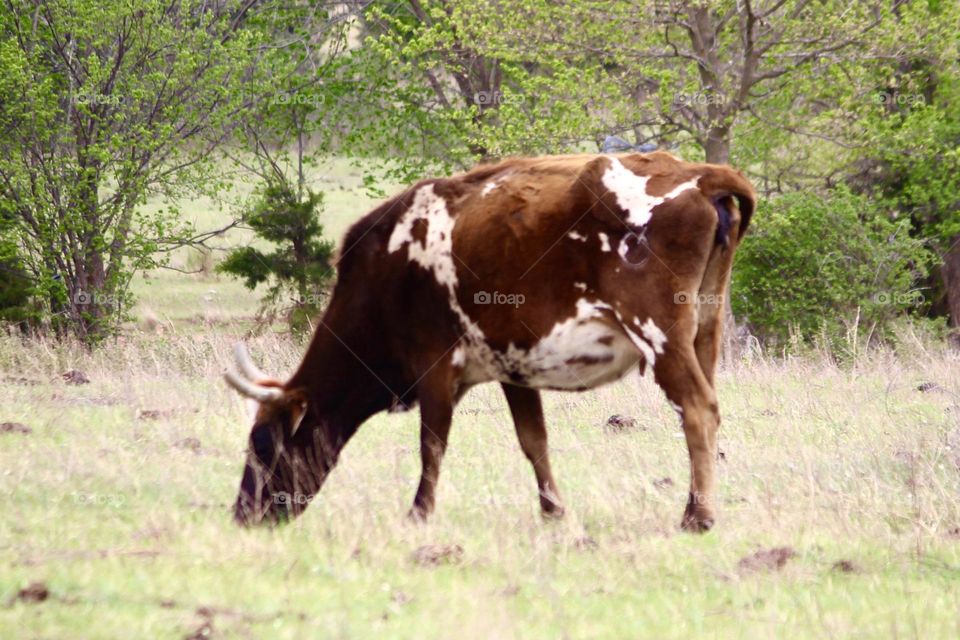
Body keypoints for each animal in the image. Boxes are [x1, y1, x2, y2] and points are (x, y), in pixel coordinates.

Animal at [224, 151, 755, 532]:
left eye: (263, 444)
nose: (243, 515)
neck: (385, 269)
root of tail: (699, 174)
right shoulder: (514, 368)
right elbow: (533, 441)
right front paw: (553, 511)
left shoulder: (436, 367)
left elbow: (432, 444)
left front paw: (418, 514)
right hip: (704, 332)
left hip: (659, 335)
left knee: (697, 409)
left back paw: (698, 517)